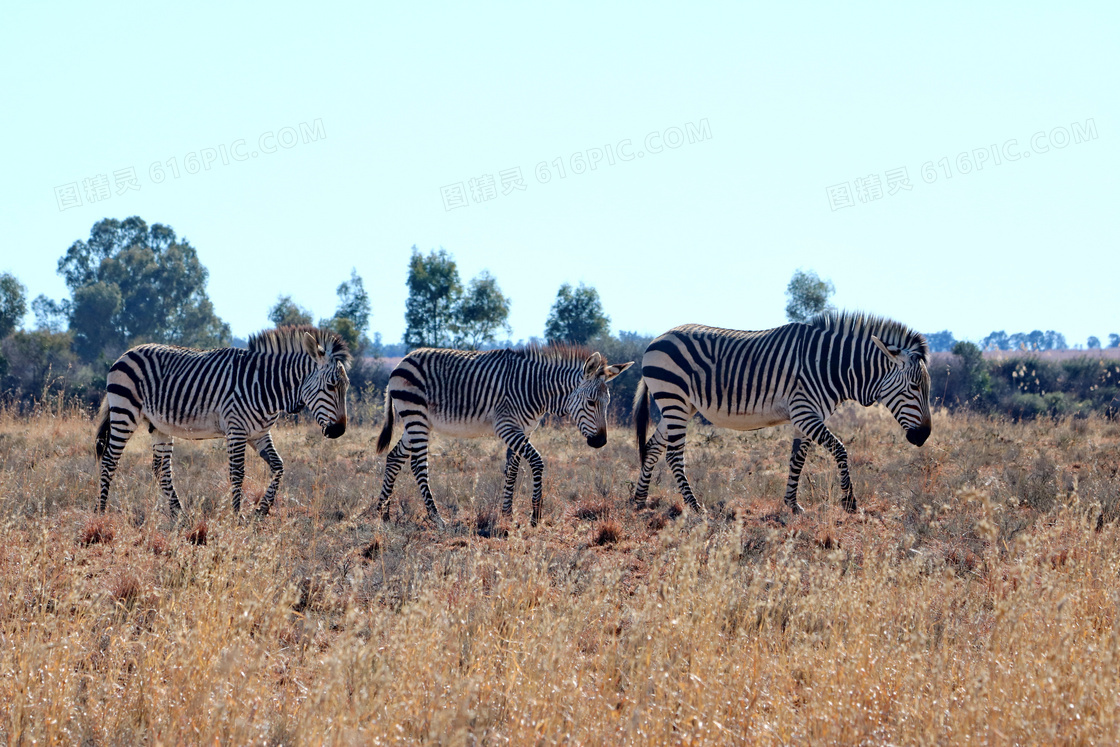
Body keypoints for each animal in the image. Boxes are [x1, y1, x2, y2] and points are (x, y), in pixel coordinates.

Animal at [96, 327, 349, 519]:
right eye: (331, 386)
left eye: (345, 387)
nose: (339, 431)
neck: (266, 385)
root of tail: (127, 352)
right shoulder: (236, 430)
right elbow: (237, 473)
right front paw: (237, 516)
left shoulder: (259, 433)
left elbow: (279, 466)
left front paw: (262, 510)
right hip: (125, 412)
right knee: (109, 461)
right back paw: (101, 511)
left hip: (158, 424)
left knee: (161, 469)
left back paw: (179, 514)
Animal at [378, 347, 631, 528]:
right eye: (591, 402)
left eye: (607, 403)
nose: (600, 442)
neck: (536, 390)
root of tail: (403, 360)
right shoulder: (507, 427)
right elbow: (536, 462)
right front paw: (535, 516)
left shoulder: (523, 430)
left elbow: (512, 469)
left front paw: (507, 514)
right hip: (416, 416)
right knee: (418, 465)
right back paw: (437, 519)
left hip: (416, 421)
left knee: (394, 458)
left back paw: (383, 513)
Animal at [636, 313, 931, 517]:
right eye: (915, 387)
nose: (924, 436)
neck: (830, 365)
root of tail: (656, 339)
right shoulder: (805, 413)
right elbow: (840, 450)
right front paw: (849, 502)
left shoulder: (806, 417)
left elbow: (797, 460)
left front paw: (792, 504)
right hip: (674, 399)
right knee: (674, 456)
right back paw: (694, 505)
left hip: (680, 406)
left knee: (652, 447)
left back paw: (639, 500)